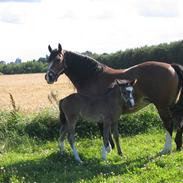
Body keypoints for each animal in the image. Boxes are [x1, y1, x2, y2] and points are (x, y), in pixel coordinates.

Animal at [45, 44, 182, 154]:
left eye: (58, 59)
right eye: (48, 60)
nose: (48, 77)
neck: (92, 76)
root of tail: (170, 66)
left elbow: (102, 129)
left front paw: (108, 148)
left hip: (162, 106)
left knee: (169, 124)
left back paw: (166, 149)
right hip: (171, 106)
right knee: (178, 123)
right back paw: (178, 146)